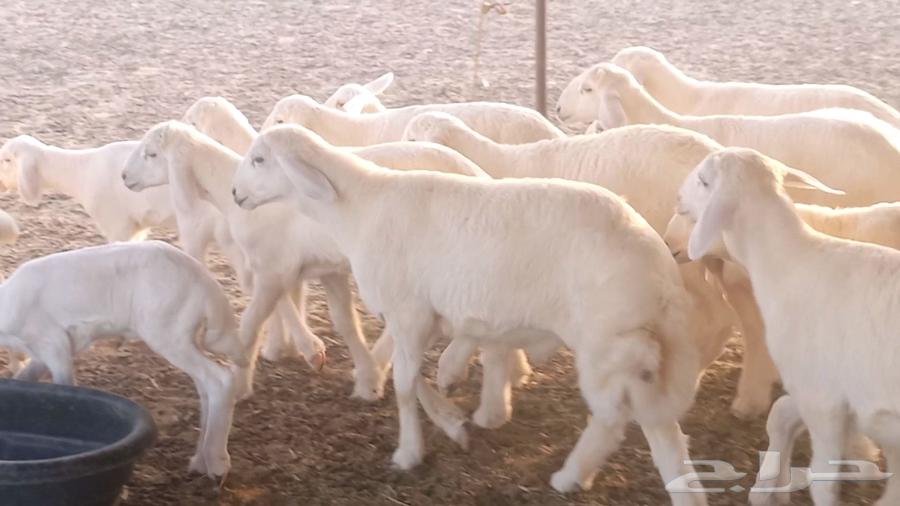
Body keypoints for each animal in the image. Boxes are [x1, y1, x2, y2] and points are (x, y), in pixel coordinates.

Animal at [0, 240, 251, 479]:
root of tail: (207, 283)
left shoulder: (54, 343)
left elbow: (65, 389)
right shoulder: (40, 354)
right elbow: (24, 380)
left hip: (167, 333)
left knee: (220, 379)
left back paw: (217, 463)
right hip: (184, 336)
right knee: (205, 385)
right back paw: (200, 460)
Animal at [231, 124, 709, 504]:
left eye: (259, 159)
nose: (235, 195)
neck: (359, 208)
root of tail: (660, 268)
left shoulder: (409, 311)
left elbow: (404, 386)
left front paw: (409, 452)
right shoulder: (420, 315)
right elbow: (413, 378)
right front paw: (452, 424)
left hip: (607, 342)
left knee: (614, 420)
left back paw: (570, 476)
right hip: (640, 350)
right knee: (662, 428)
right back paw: (685, 493)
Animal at [678, 146, 900, 506]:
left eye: (703, 180)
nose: (677, 199)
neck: (788, 261)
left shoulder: (823, 400)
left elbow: (823, 482)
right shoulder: (819, 387)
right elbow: (780, 412)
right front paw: (769, 486)